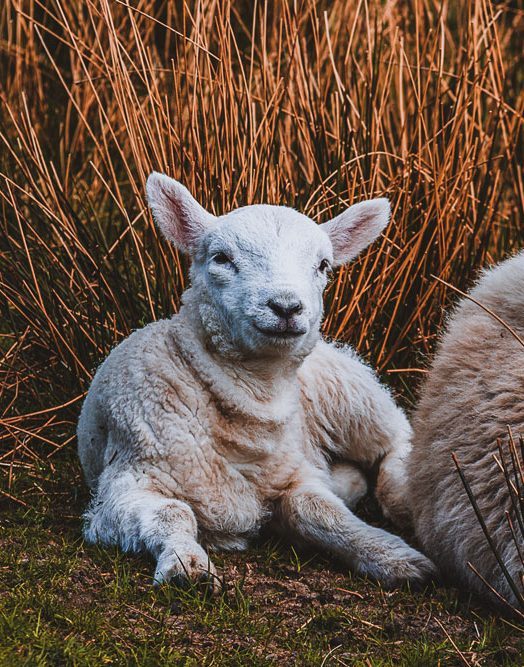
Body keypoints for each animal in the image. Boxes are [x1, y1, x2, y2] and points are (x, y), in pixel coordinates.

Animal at [77, 172, 435, 590]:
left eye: (323, 265)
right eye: (221, 258)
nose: (286, 307)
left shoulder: (292, 475)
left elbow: (318, 509)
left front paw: (391, 555)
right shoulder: (126, 485)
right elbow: (172, 514)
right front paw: (187, 566)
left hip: (352, 397)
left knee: (397, 437)